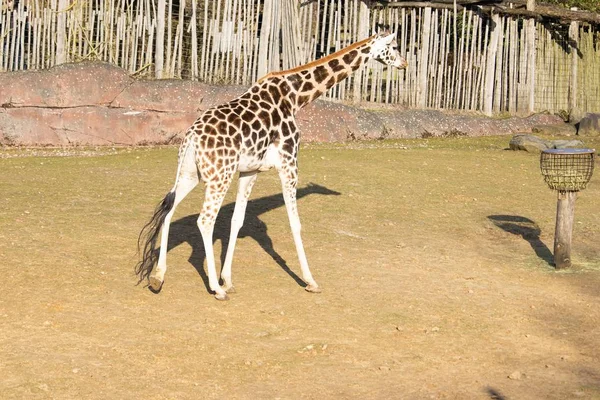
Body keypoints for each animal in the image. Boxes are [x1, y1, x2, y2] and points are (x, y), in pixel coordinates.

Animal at [136, 32, 408, 300]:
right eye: (394, 46)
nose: (404, 64)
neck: (296, 97)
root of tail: (192, 138)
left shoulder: (250, 170)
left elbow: (237, 220)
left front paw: (229, 279)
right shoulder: (289, 162)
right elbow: (295, 223)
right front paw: (310, 281)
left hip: (190, 174)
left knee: (169, 210)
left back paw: (158, 277)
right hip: (220, 176)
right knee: (205, 221)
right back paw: (215, 288)